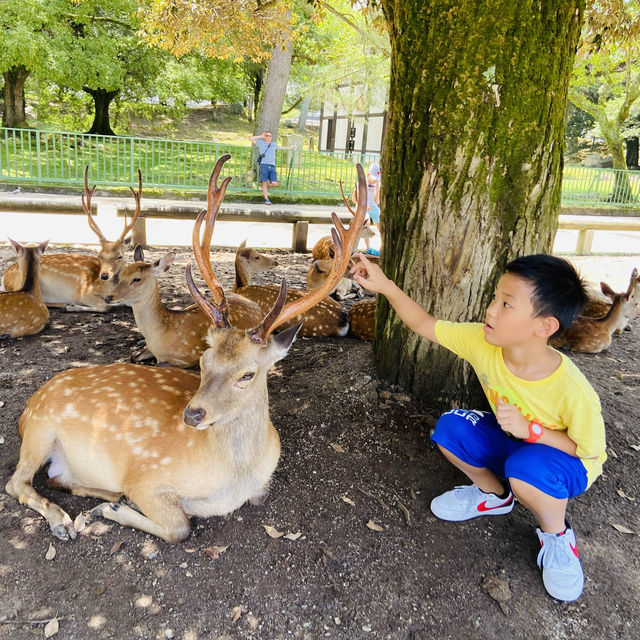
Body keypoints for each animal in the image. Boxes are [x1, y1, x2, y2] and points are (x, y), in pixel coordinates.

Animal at [0, 165, 140, 312]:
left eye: (119, 256)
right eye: (99, 255)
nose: (104, 275)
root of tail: (5, 276)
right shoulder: (85, 293)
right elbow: (105, 306)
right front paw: (73, 306)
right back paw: (64, 305)